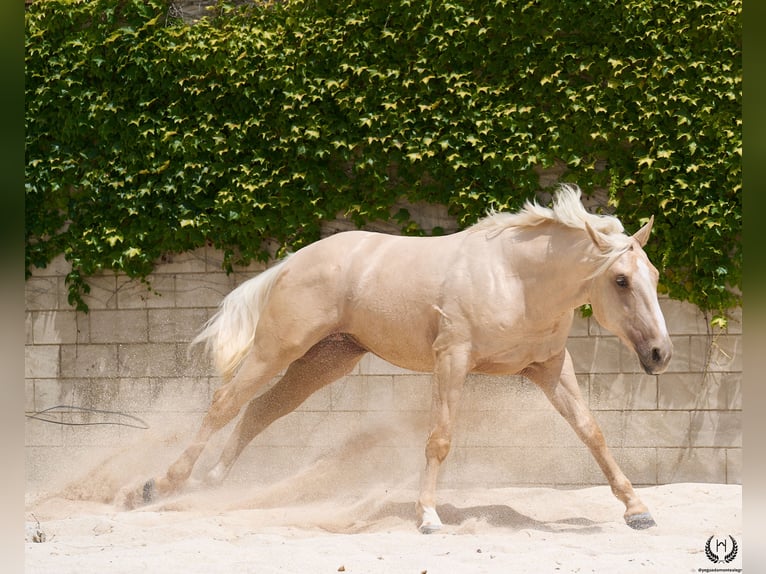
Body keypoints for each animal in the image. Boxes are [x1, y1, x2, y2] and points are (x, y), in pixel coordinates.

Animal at [119, 184, 672, 532]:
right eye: (621, 280)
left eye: (655, 275)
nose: (660, 354)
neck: (514, 278)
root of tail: (293, 261)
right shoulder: (452, 360)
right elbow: (439, 439)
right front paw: (427, 517)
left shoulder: (550, 367)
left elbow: (592, 432)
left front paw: (638, 509)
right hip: (278, 347)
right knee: (225, 404)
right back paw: (156, 487)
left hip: (326, 360)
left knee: (260, 411)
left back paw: (209, 487)